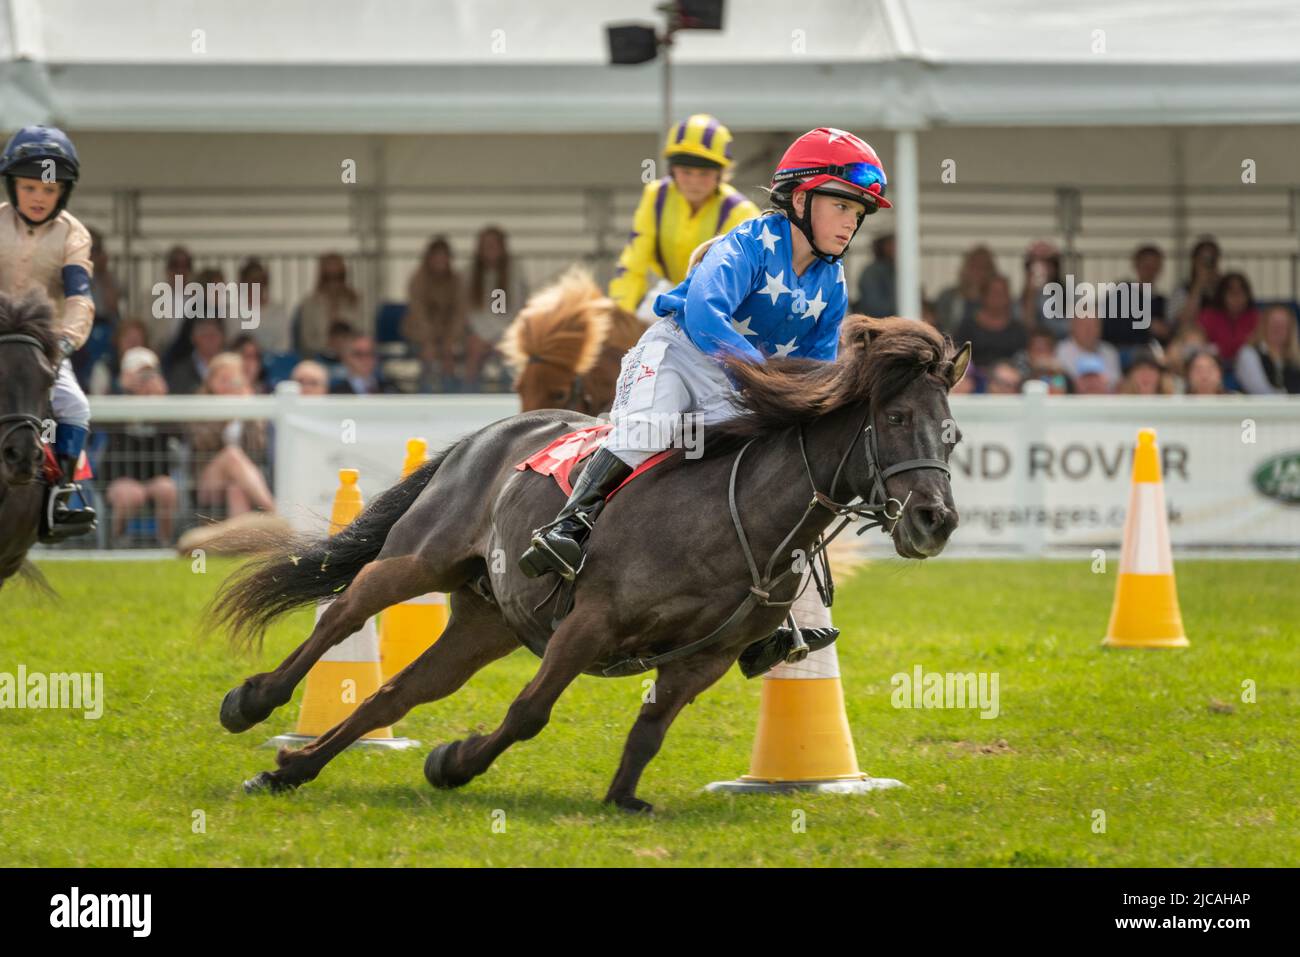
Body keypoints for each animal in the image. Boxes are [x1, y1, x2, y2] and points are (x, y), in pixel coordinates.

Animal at [213, 317, 967, 811]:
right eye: (896, 417)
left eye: (952, 431)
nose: (937, 520)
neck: (737, 518)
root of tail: (490, 433)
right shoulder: (589, 624)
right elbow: (527, 713)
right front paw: (455, 761)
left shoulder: (704, 659)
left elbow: (648, 732)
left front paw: (623, 797)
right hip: (417, 560)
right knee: (342, 614)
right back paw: (252, 701)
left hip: (486, 622)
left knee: (395, 693)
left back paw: (290, 769)